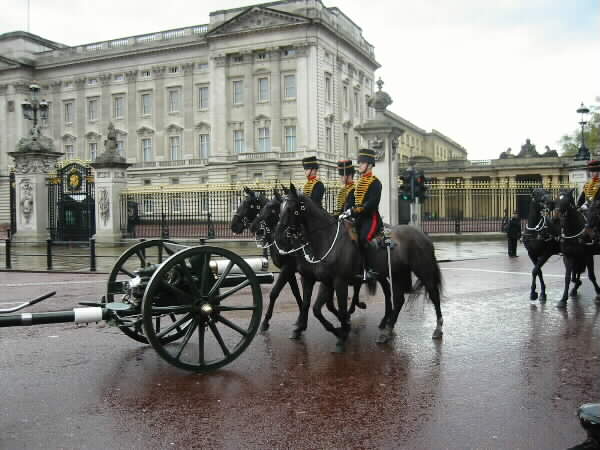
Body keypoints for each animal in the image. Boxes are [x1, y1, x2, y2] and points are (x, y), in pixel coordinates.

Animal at [274, 185, 442, 350]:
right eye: (279, 209)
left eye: (290, 209)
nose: (279, 236)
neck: (325, 239)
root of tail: (423, 234)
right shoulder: (319, 280)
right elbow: (312, 307)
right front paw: (334, 330)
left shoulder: (339, 281)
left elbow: (339, 308)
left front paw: (342, 333)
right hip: (396, 273)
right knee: (398, 299)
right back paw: (386, 331)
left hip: (423, 271)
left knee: (433, 295)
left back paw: (437, 329)